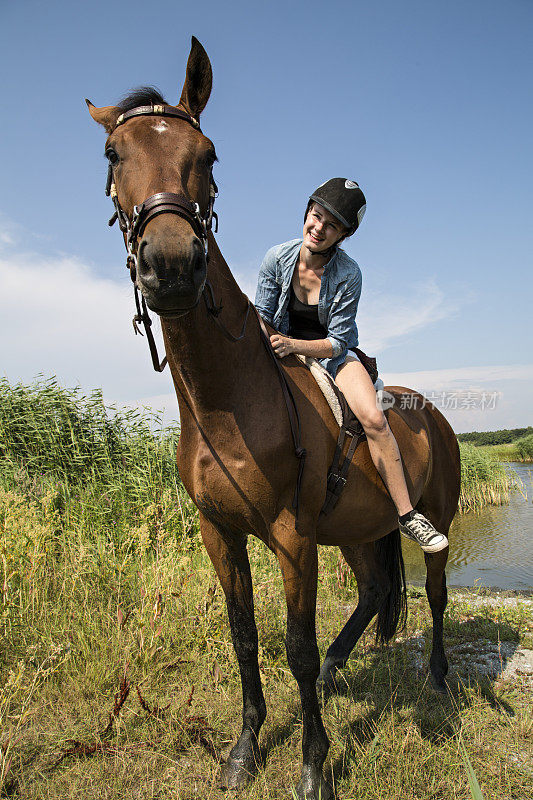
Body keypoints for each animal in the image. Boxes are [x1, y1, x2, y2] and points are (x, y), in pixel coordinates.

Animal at [86, 39, 458, 800]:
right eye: (113, 153)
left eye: (209, 154)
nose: (172, 265)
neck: (229, 401)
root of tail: (430, 412)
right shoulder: (221, 533)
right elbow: (246, 638)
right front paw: (245, 747)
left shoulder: (291, 535)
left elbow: (296, 646)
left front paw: (314, 764)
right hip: (353, 531)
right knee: (374, 590)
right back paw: (347, 665)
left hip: (428, 520)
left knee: (433, 597)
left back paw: (435, 677)